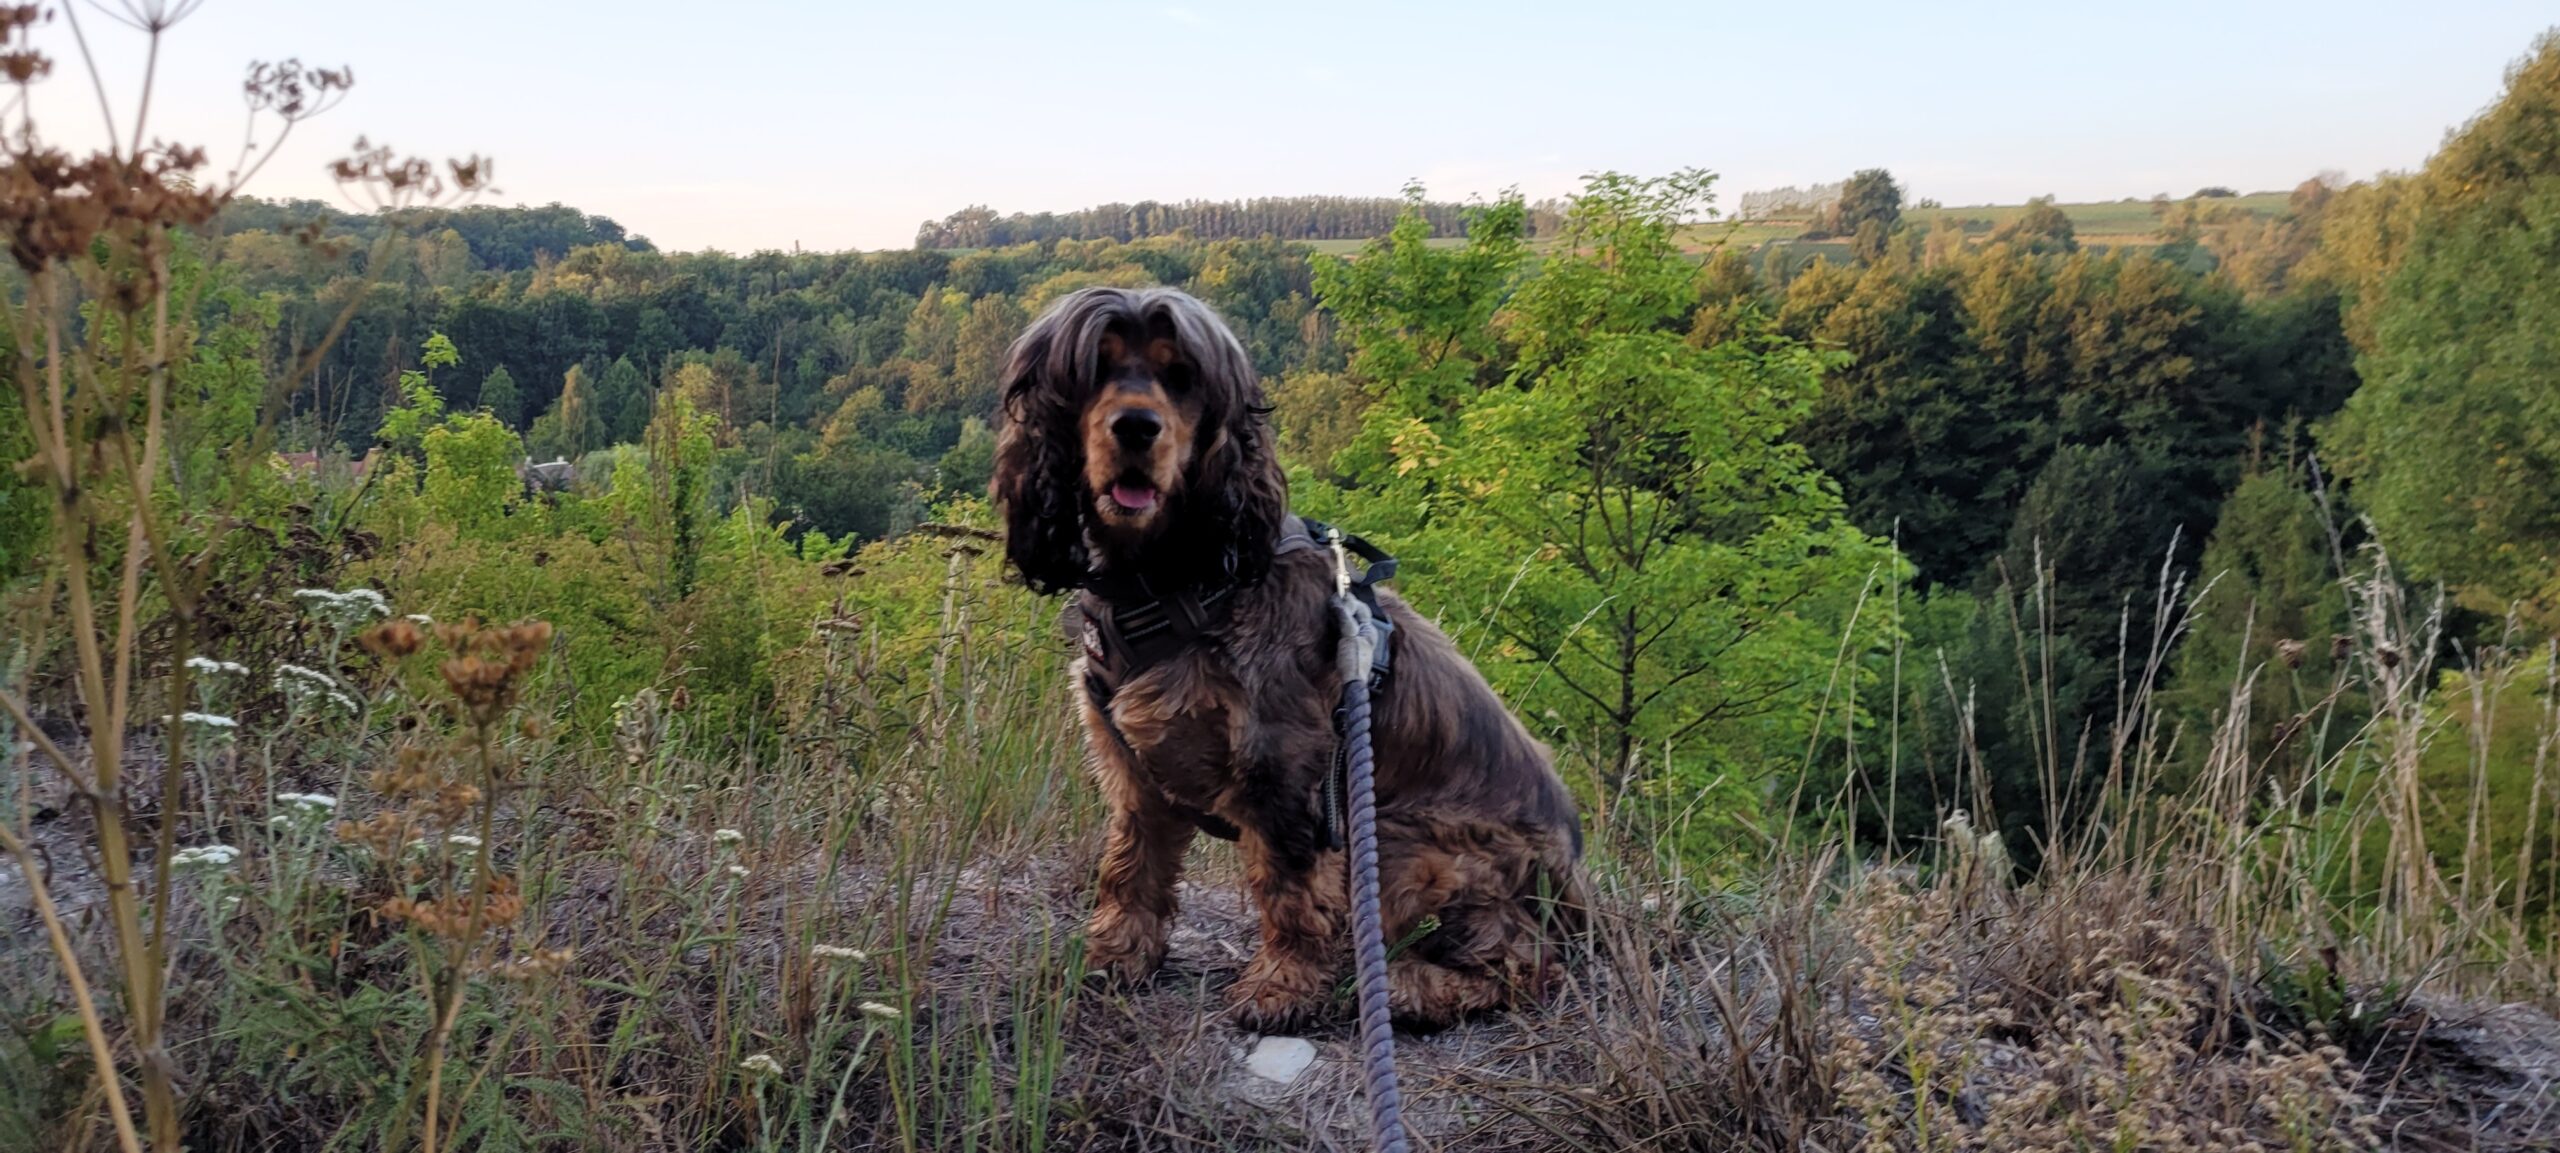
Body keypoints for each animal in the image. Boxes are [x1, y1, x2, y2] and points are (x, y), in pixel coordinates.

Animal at [993, 285, 1576, 1024]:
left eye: (1181, 375)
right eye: (1095, 369)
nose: (1136, 428)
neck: (1171, 579)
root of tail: (1577, 872)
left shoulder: (1285, 765)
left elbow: (1291, 887)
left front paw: (1282, 985)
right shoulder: (1132, 767)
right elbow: (1131, 866)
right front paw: (1115, 954)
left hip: (1403, 841)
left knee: (1530, 963)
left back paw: (1407, 990)